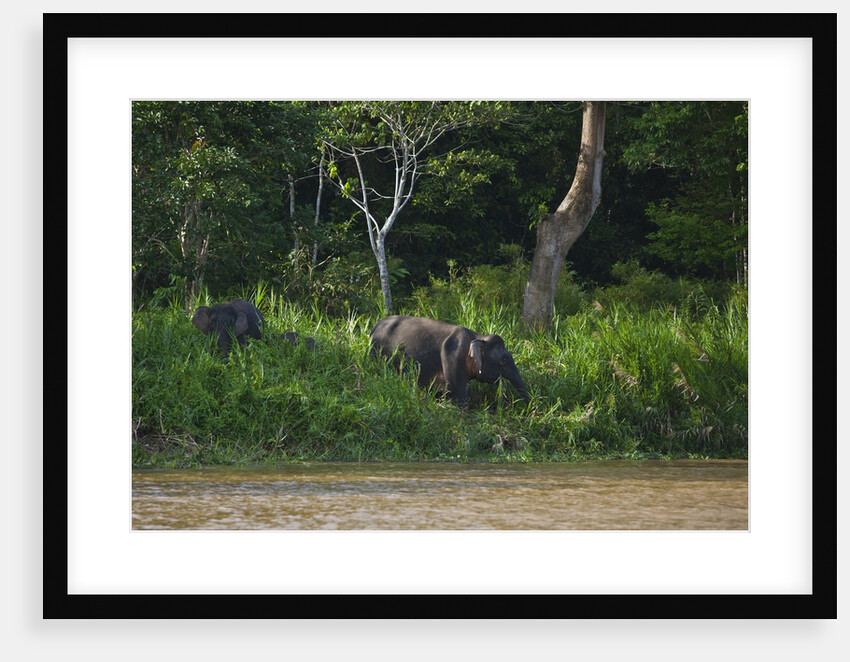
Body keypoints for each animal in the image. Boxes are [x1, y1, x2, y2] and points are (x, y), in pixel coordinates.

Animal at [369, 315, 530, 408]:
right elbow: (459, 393)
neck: (477, 336)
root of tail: (374, 327)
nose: (529, 409)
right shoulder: (452, 357)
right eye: (504, 360)